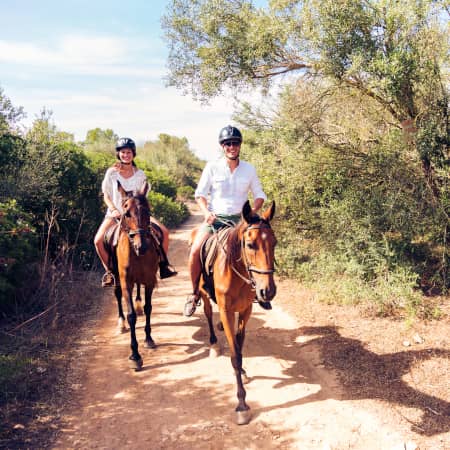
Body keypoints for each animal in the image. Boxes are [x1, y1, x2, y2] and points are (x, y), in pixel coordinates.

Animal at [198, 200, 276, 426]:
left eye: (274, 243)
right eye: (250, 245)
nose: (268, 291)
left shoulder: (245, 310)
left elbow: (240, 346)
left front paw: (241, 371)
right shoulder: (226, 310)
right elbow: (235, 355)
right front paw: (242, 404)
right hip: (203, 293)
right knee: (208, 313)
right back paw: (214, 344)